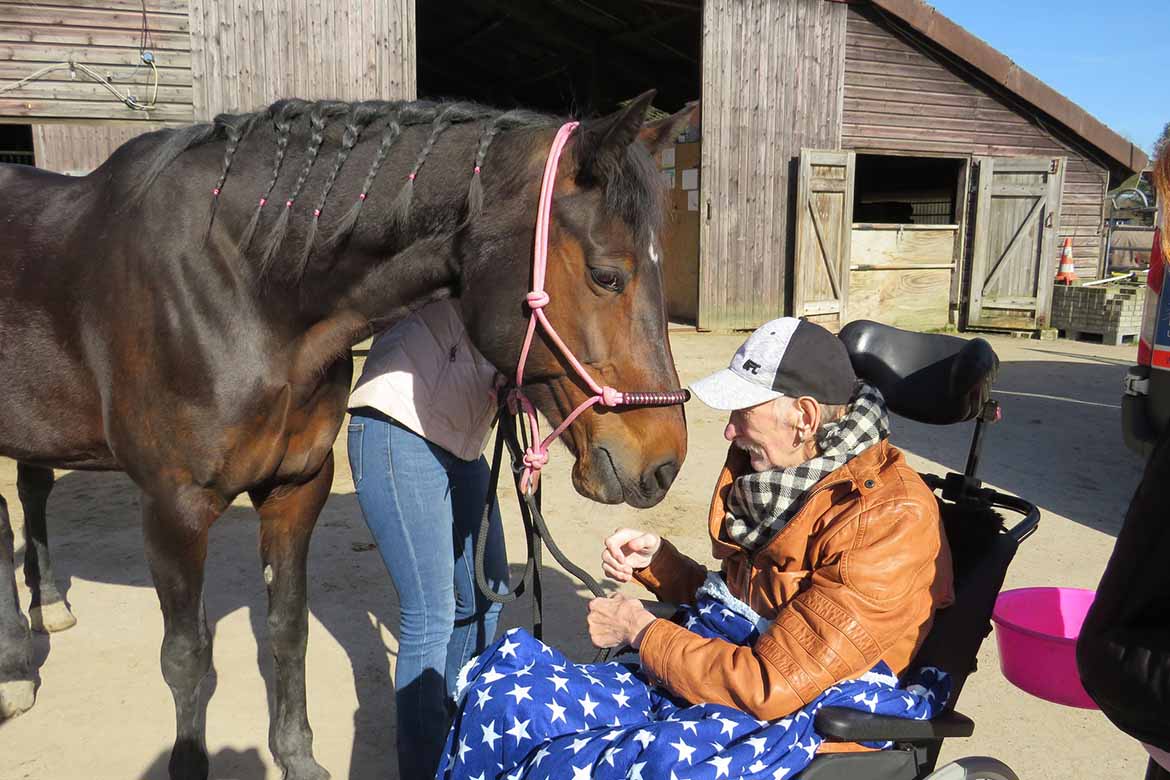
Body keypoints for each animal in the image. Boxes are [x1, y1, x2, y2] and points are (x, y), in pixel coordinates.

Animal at [0, 92, 692, 780]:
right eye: (607, 275)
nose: (664, 462)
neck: (243, 290)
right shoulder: (175, 507)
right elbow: (187, 657)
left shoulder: (296, 486)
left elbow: (288, 630)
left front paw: (297, 757)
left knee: (26, 500)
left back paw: (46, 611)